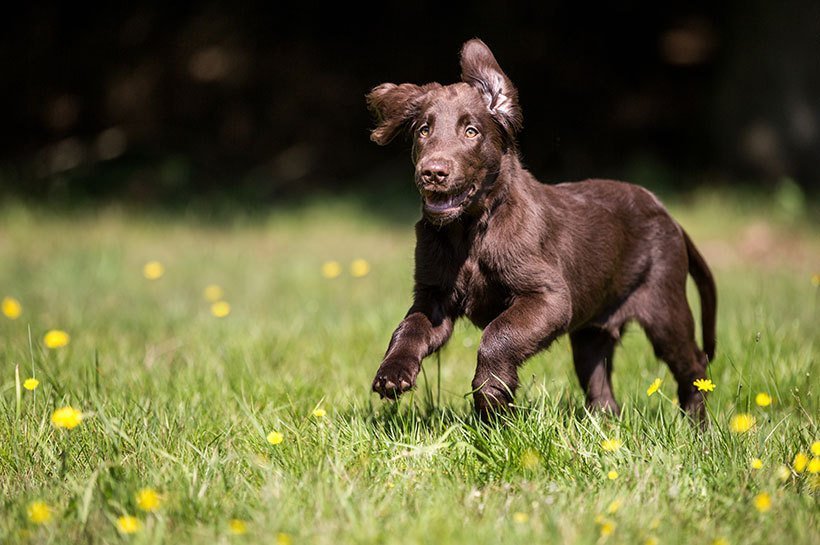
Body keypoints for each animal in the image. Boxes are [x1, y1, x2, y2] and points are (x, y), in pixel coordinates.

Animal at [366, 39, 716, 420]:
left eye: (471, 131)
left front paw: (491, 396)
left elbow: (497, 333)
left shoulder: (551, 297)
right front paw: (392, 373)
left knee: (692, 364)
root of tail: (666, 212)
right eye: (423, 131)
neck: (472, 230)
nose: (432, 172)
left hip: (664, 305)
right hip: (592, 332)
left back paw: (697, 425)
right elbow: (410, 328)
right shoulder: (433, 295)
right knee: (601, 384)